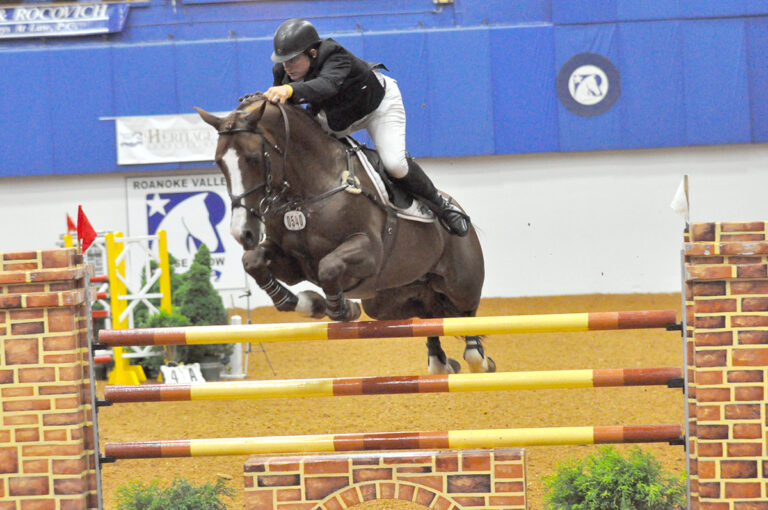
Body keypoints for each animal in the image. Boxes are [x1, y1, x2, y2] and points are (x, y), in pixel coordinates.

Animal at [194, 95, 492, 374]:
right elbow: (253, 262)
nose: (242, 233)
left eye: (254, 159)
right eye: (219, 163)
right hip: (388, 299)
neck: (309, 191)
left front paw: (341, 309)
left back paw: (478, 359)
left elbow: (328, 267)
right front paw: (304, 302)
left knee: (467, 316)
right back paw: (440, 361)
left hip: (460, 283)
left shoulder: (368, 252)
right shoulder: (291, 263)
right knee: (429, 314)